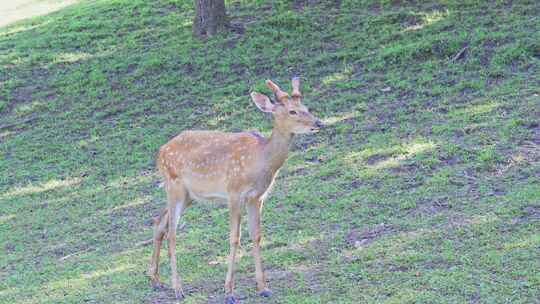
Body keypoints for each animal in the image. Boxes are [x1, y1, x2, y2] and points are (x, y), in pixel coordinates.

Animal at [148, 77, 322, 302]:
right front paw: (229, 291)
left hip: (188, 195)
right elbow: (234, 238)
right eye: (292, 111)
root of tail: (160, 152)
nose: (319, 123)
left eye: (306, 107)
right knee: (172, 233)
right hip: (174, 186)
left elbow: (256, 235)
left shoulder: (257, 197)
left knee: (160, 221)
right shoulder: (233, 192)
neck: (260, 160)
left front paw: (263, 287)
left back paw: (155, 279)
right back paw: (177, 288)